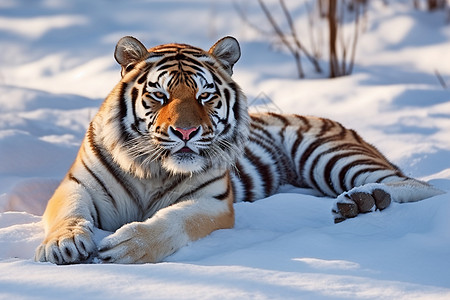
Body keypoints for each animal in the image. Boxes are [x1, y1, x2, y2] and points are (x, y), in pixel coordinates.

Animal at [35, 36, 442, 264]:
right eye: (160, 95)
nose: (186, 131)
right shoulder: (76, 186)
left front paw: (128, 246)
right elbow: (68, 214)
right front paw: (63, 244)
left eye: (204, 96)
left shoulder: (212, 202)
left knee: (420, 186)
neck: (153, 167)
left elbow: (173, 221)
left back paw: (365, 199)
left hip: (328, 155)